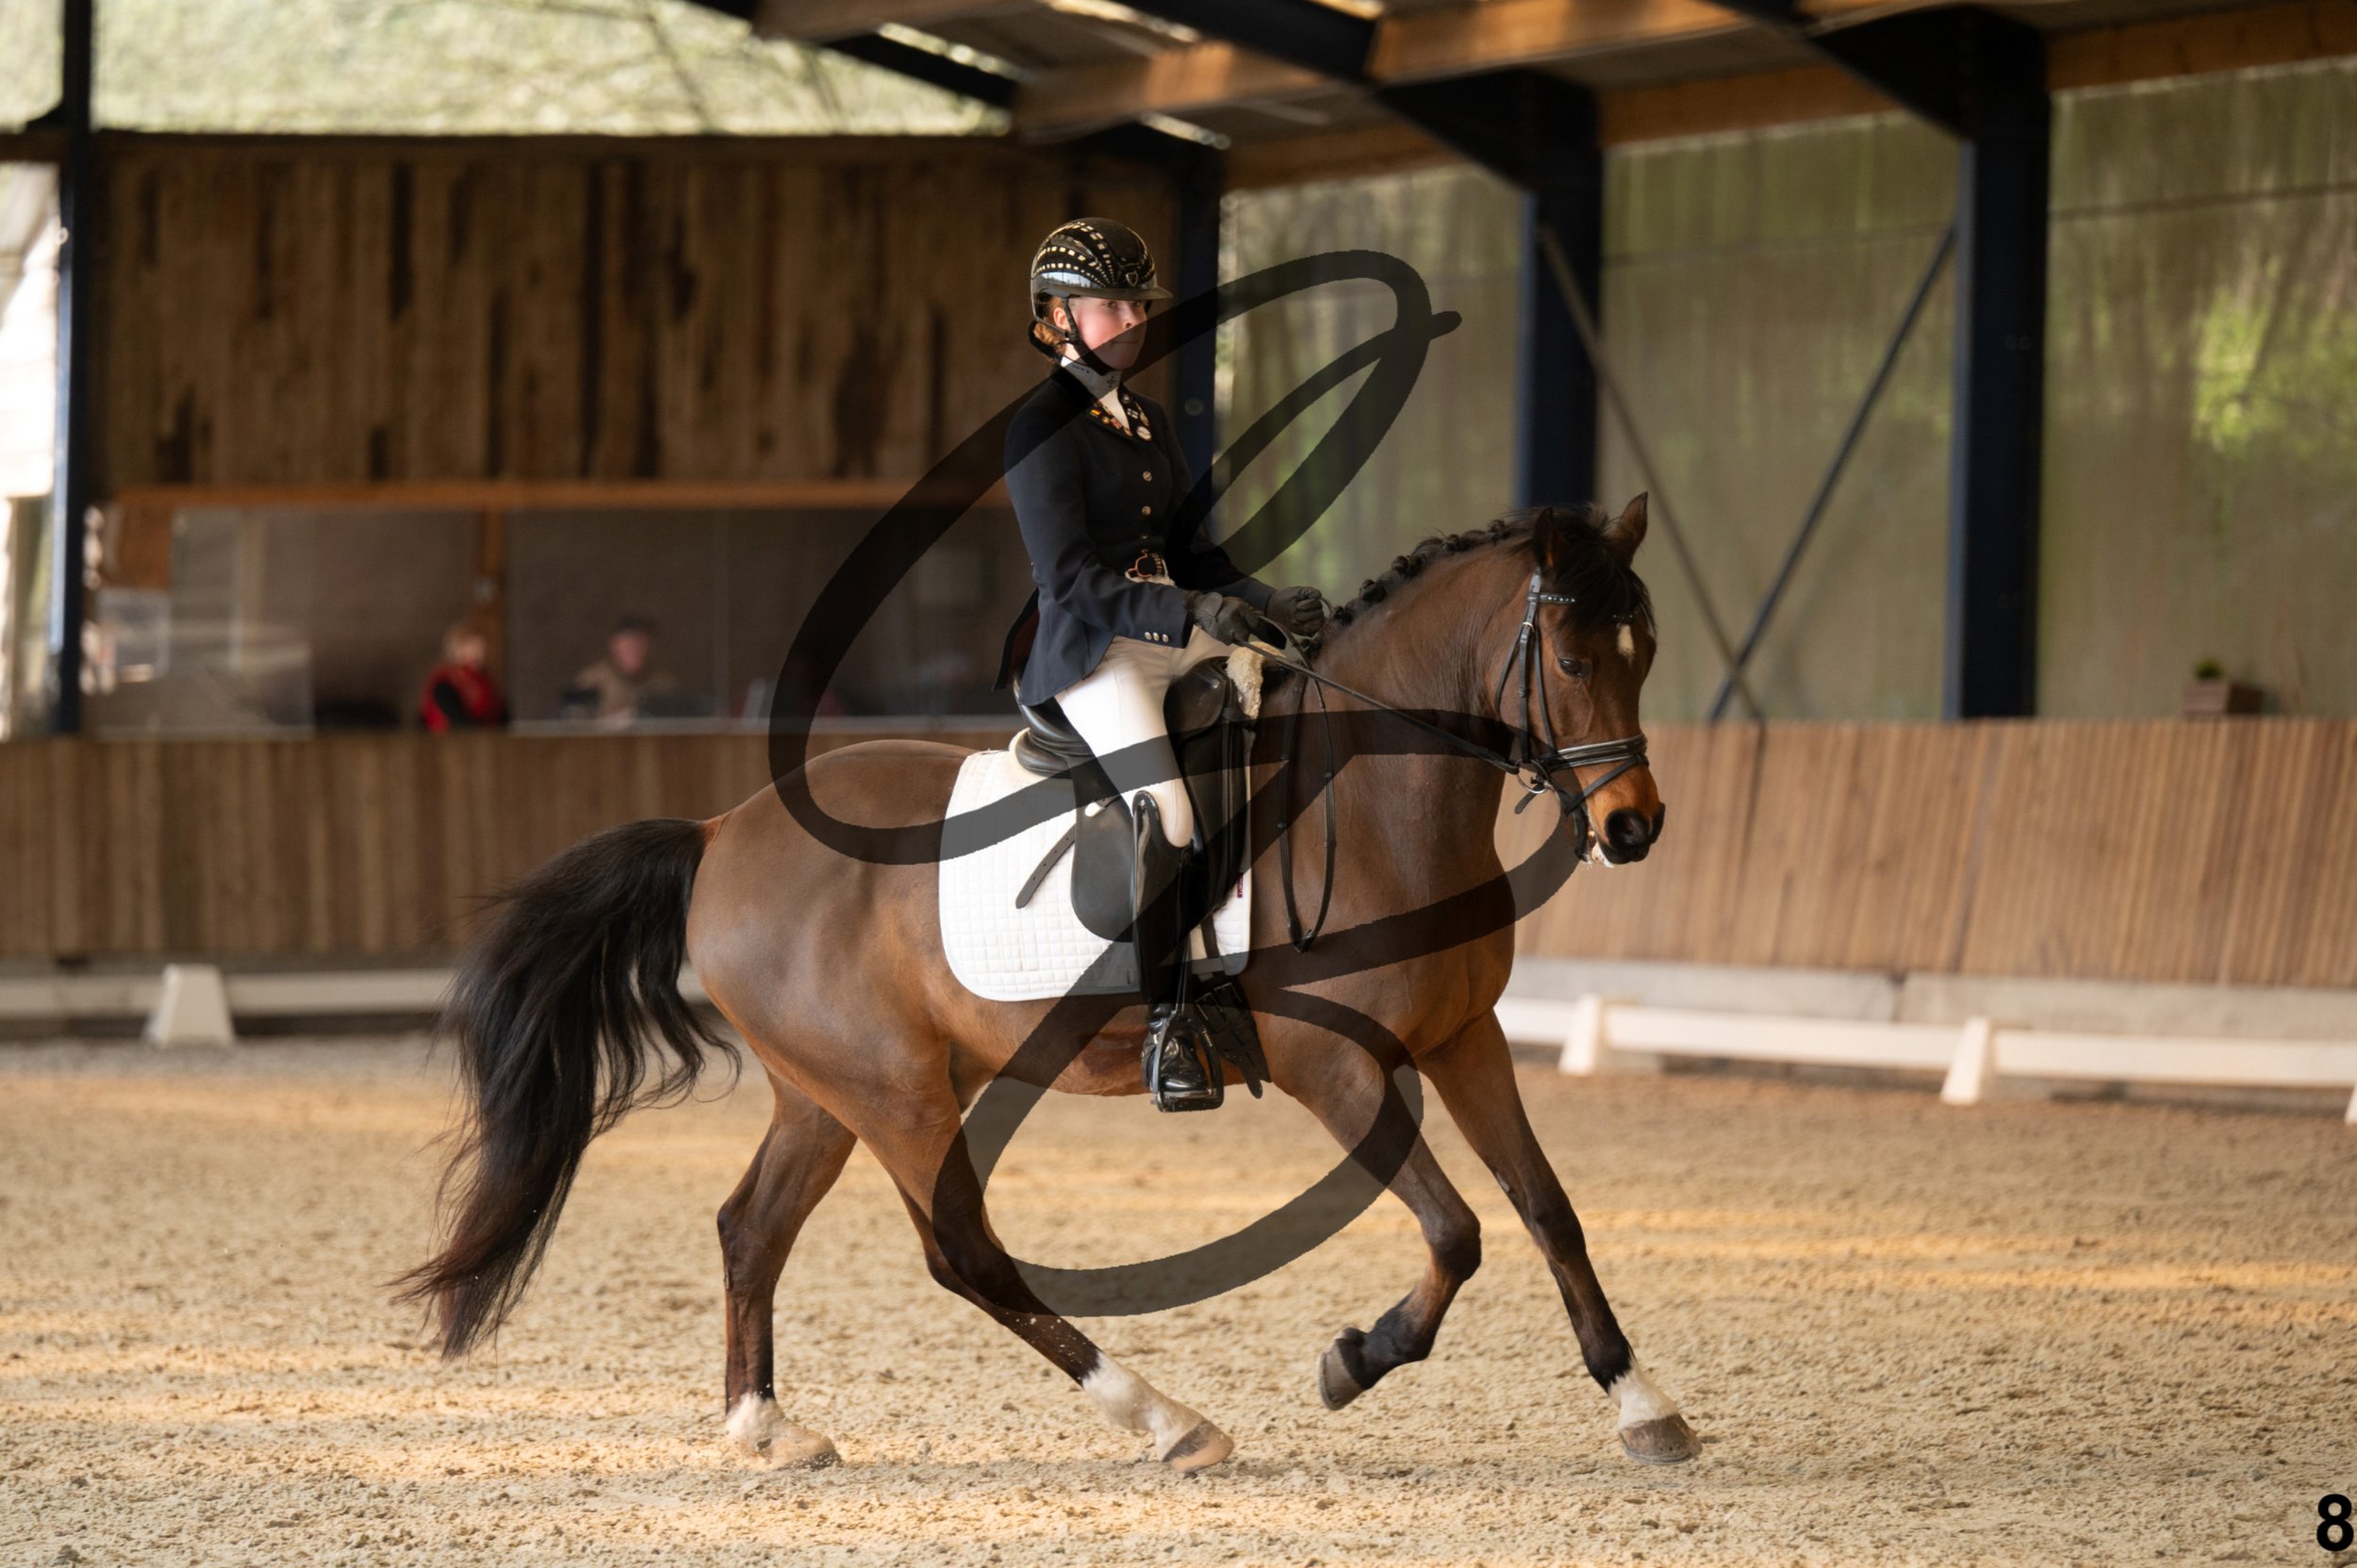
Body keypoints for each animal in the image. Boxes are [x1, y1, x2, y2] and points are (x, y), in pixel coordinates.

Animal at [395, 493, 1699, 1474]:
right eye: (1571, 657)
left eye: (1646, 653)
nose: (1633, 830)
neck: (1374, 802)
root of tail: (721, 830)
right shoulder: (1332, 1064)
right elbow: (1455, 1228)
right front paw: (1352, 1361)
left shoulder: (1465, 1037)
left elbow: (1547, 1210)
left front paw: (1644, 1406)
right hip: (896, 1091)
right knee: (961, 1252)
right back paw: (1168, 1421)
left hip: (828, 1091)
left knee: (751, 1226)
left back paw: (766, 1428)